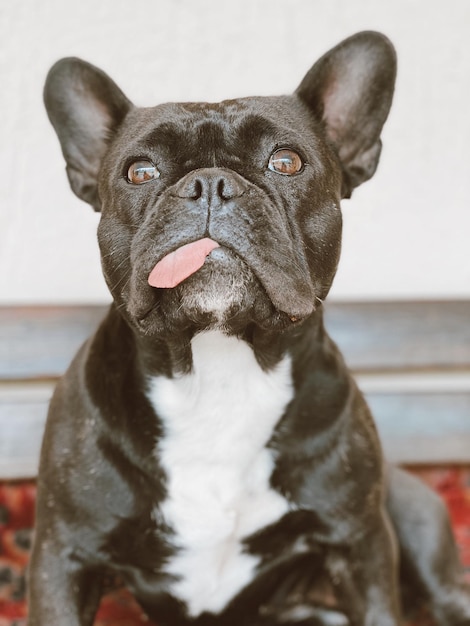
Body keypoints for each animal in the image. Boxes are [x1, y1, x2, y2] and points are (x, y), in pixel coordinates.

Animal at [28, 30, 470, 624]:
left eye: (286, 161)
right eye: (139, 172)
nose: (210, 183)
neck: (220, 365)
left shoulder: (360, 541)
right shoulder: (65, 556)